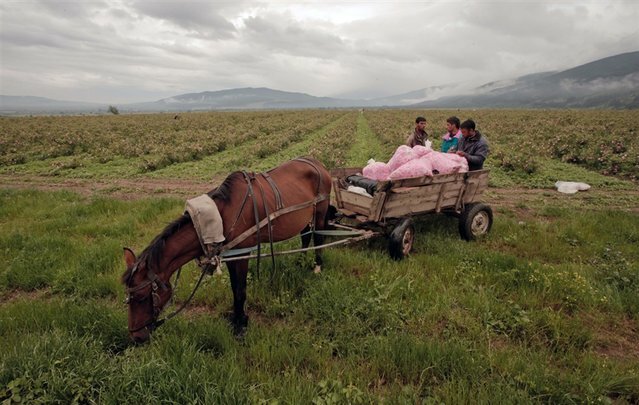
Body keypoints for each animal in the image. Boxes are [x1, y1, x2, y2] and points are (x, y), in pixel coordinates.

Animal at [120, 156, 332, 342]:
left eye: (140, 297)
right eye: (128, 298)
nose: (136, 337)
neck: (220, 217)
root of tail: (317, 162)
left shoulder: (243, 253)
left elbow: (240, 290)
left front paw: (241, 326)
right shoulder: (230, 253)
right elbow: (233, 287)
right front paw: (237, 319)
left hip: (320, 210)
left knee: (318, 236)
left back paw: (317, 266)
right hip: (305, 215)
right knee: (305, 235)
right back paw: (301, 261)